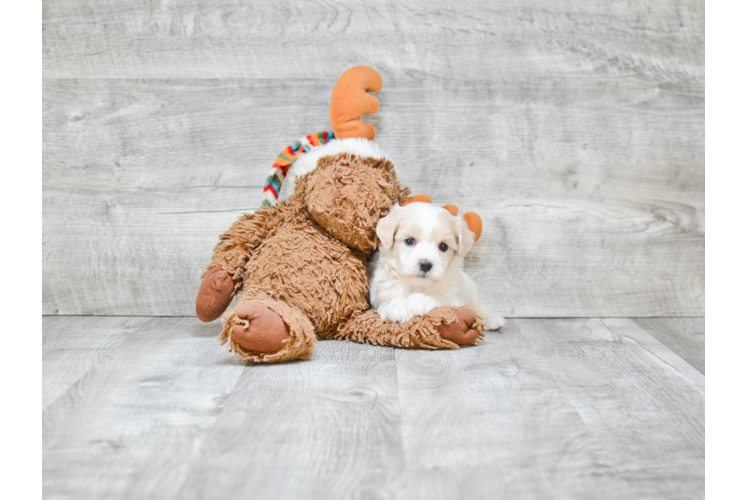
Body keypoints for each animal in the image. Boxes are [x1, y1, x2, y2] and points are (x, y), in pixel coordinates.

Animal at [366, 201, 506, 330]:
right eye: (409, 241)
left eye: (443, 246)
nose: (425, 264)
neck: (417, 285)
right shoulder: (382, 289)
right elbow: (390, 297)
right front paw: (397, 307)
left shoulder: (454, 298)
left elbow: (439, 296)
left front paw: (418, 300)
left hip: (472, 292)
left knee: (478, 308)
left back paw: (491, 319)